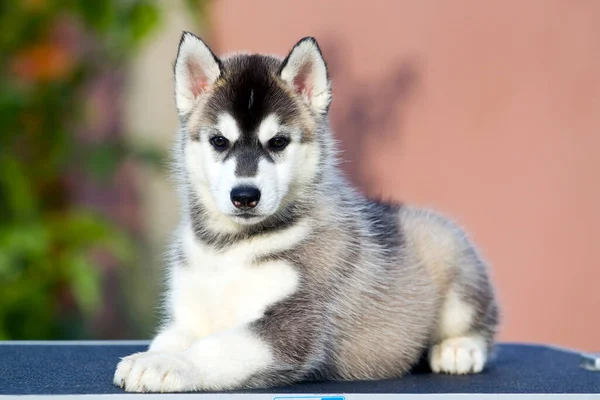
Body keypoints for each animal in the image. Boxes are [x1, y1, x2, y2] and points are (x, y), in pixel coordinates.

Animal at [112, 32, 496, 394]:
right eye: (219, 141)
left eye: (278, 142)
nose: (245, 196)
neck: (229, 247)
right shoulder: (188, 318)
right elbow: (169, 340)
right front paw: (157, 355)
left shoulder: (293, 325)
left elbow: (217, 347)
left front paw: (166, 365)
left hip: (453, 266)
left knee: (481, 324)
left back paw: (459, 349)